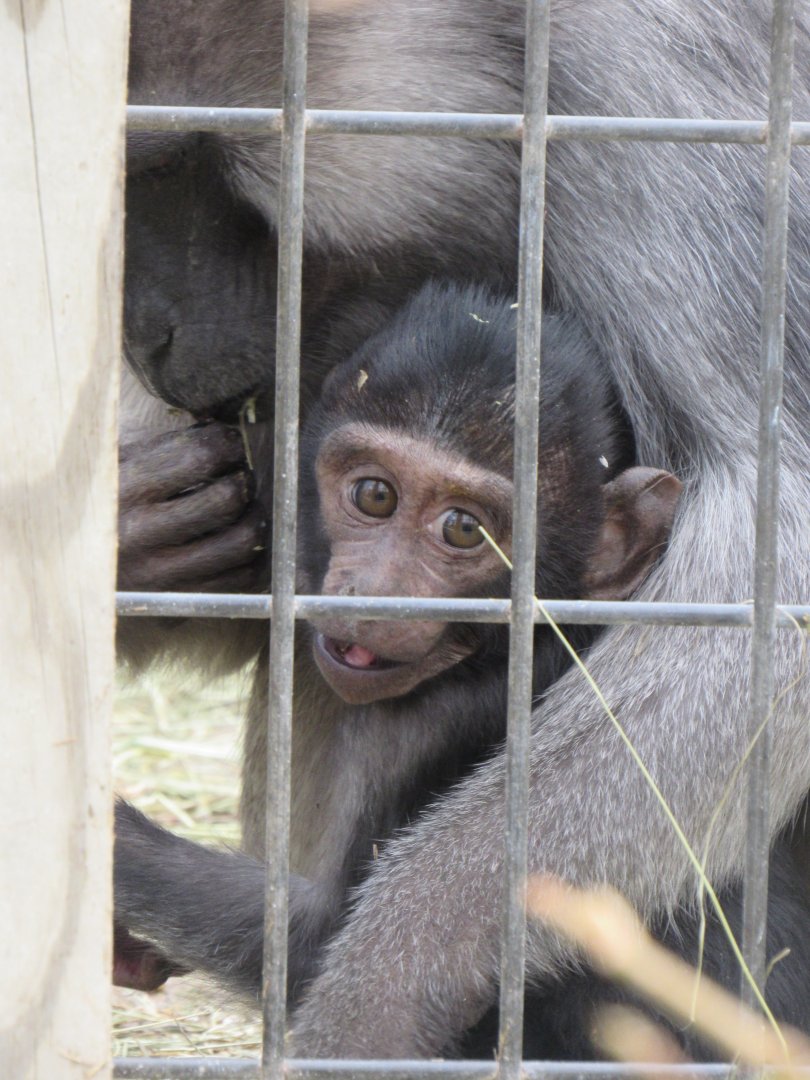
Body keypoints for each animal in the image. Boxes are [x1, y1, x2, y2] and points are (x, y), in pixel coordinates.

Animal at [119, 0, 810, 1058]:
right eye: (369, 497)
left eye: (172, 168)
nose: (144, 335)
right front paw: (133, 538)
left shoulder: (647, 88)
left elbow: (770, 584)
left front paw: (370, 1001)